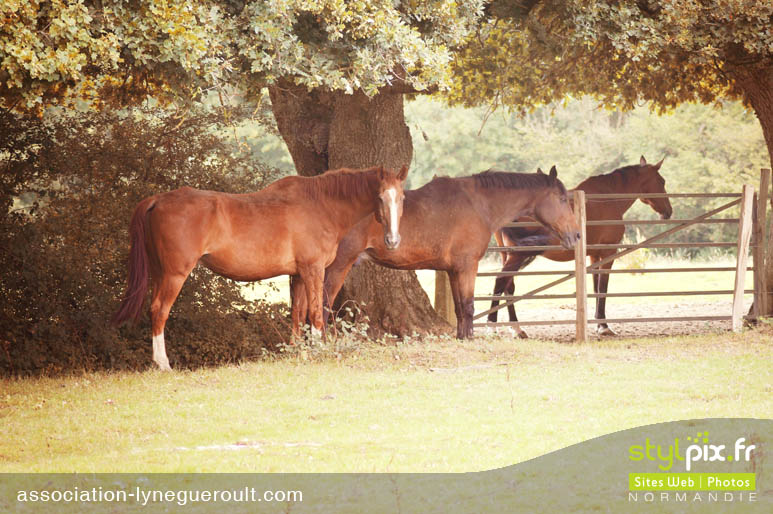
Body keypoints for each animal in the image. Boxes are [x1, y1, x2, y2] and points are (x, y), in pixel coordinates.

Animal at [113, 165, 410, 368]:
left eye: (402, 198)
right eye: (381, 197)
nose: (393, 240)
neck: (320, 205)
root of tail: (158, 200)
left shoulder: (298, 275)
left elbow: (297, 314)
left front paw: (297, 352)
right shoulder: (313, 270)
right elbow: (315, 313)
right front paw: (317, 352)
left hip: (159, 272)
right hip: (175, 274)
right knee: (160, 311)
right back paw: (163, 363)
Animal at [294, 166, 580, 338]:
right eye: (562, 199)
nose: (576, 235)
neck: (479, 205)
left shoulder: (454, 270)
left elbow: (459, 308)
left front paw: (462, 338)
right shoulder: (467, 267)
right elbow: (468, 306)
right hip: (337, 266)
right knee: (323, 305)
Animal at [488, 156, 668, 336]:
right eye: (662, 181)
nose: (668, 211)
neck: (606, 200)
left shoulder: (595, 255)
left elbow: (596, 287)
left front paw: (598, 323)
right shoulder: (608, 252)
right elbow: (603, 287)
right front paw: (604, 326)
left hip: (508, 254)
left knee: (508, 286)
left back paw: (516, 328)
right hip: (517, 255)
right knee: (501, 281)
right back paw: (493, 326)